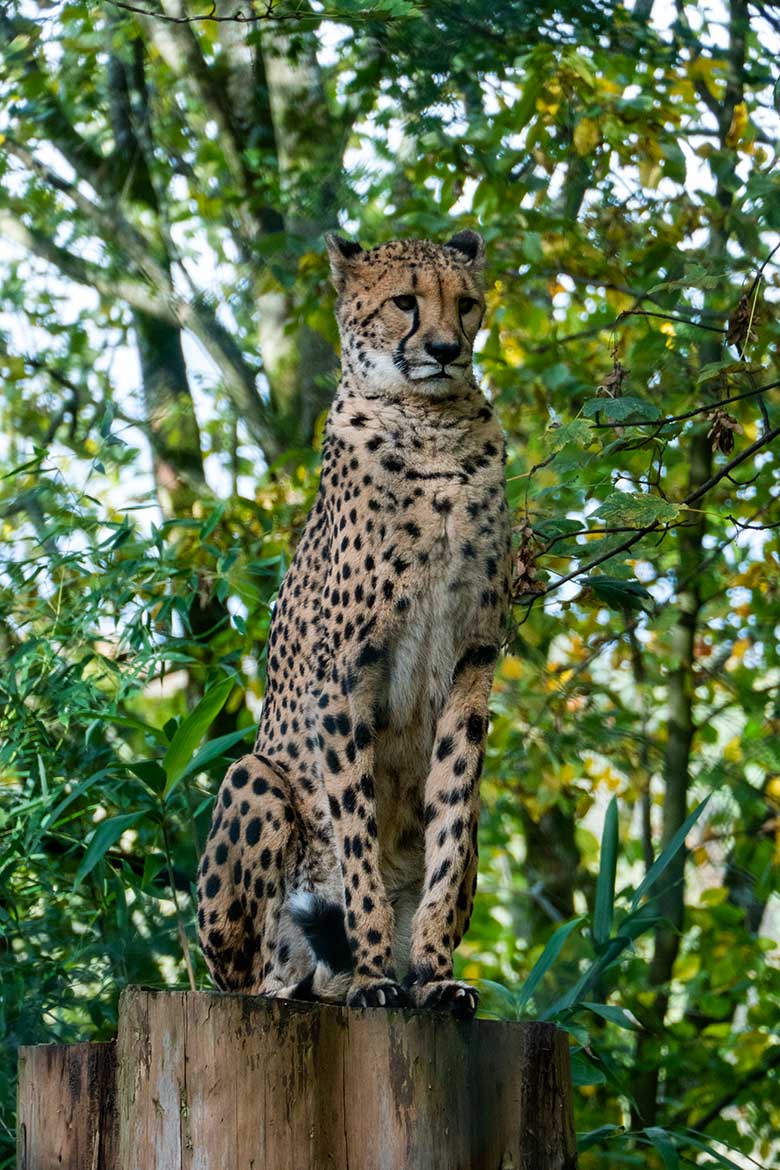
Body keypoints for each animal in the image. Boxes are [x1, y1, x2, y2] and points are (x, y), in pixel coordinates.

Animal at [195, 225, 512, 1015]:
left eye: (466, 304)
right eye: (405, 302)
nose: (446, 349)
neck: (431, 428)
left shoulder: (474, 662)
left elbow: (451, 819)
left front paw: (431, 971)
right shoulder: (344, 669)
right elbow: (356, 826)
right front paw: (374, 971)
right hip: (253, 780)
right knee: (257, 974)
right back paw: (312, 980)